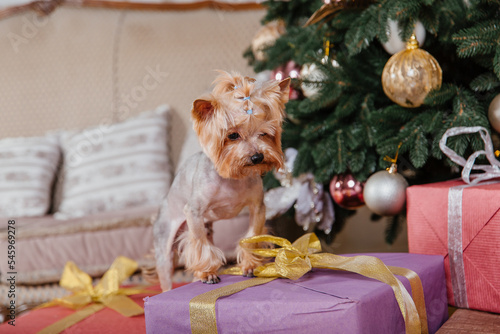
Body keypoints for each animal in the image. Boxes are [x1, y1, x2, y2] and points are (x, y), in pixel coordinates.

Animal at [154, 72, 292, 290]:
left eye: (264, 134)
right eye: (232, 135)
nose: (257, 157)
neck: (232, 178)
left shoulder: (257, 207)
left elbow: (252, 236)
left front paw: (250, 265)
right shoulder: (193, 212)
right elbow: (200, 244)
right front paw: (207, 273)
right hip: (165, 242)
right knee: (167, 273)